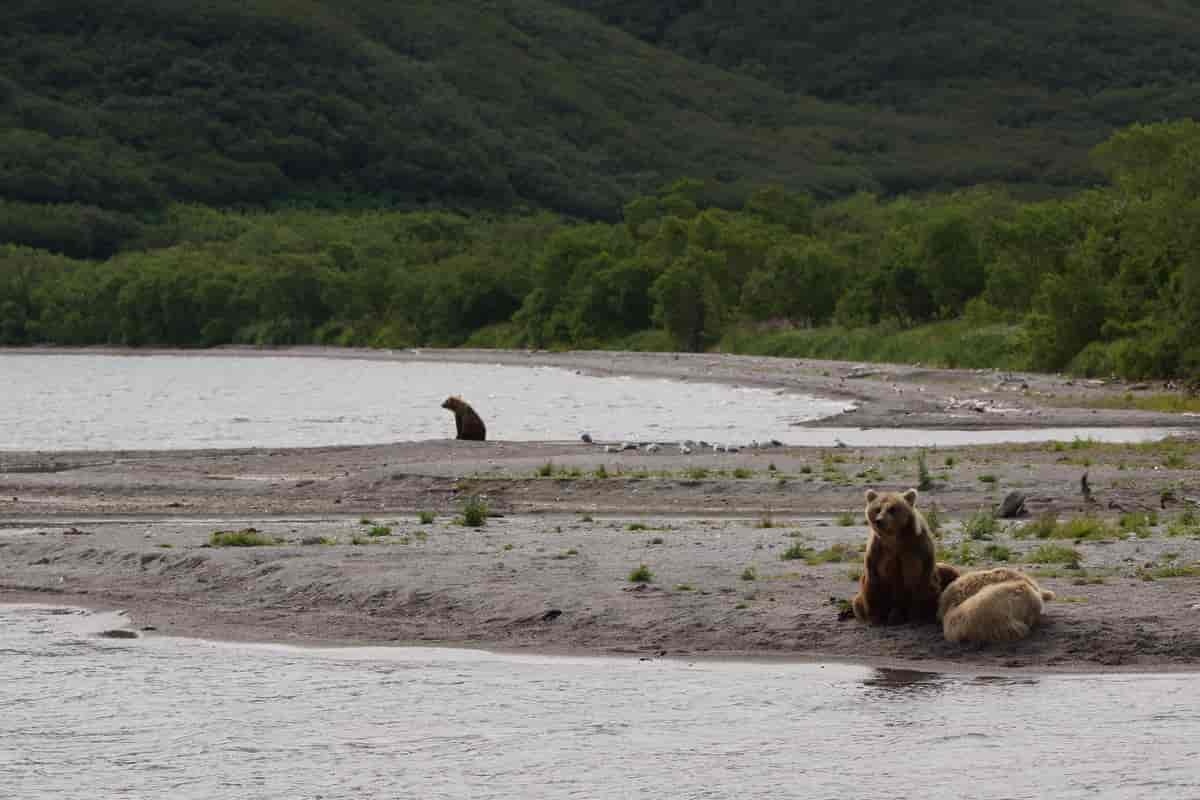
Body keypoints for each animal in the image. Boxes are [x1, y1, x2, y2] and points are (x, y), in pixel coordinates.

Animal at [849, 489, 960, 623]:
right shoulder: (878, 549)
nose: (879, 520)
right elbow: (873, 581)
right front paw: (876, 617)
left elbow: (923, 578)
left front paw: (919, 614)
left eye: (892, 509)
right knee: (859, 601)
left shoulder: (917, 545)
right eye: (877, 509)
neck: (894, 538)